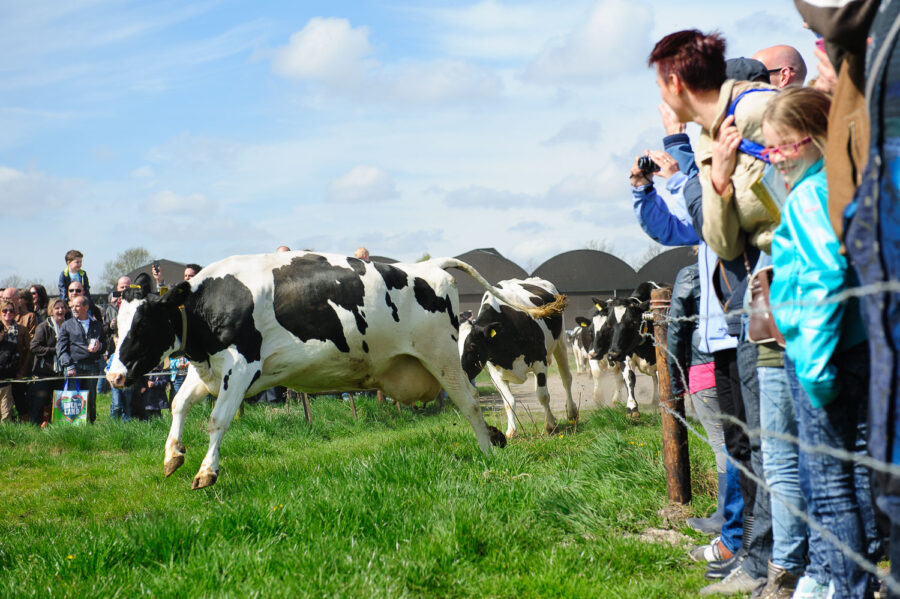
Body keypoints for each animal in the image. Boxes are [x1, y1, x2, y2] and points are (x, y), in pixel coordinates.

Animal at [105, 251, 564, 490]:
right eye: (115, 326)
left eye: (142, 325)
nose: (112, 377)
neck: (210, 302)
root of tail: (428, 267)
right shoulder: (211, 368)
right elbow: (178, 405)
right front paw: (172, 455)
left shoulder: (241, 364)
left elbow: (217, 420)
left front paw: (206, 471)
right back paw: (495, 438)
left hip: (444, 356)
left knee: (468, 403)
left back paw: (487, 452)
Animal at [458, 278, 576, 440]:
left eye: (472, 346)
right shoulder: (496, 375)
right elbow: (509, 401)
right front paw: (511, 431)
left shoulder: (540, 362)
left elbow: (543, 396)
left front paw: (549, 426)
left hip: (561, 343)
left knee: (566, 379)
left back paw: (572, 412)